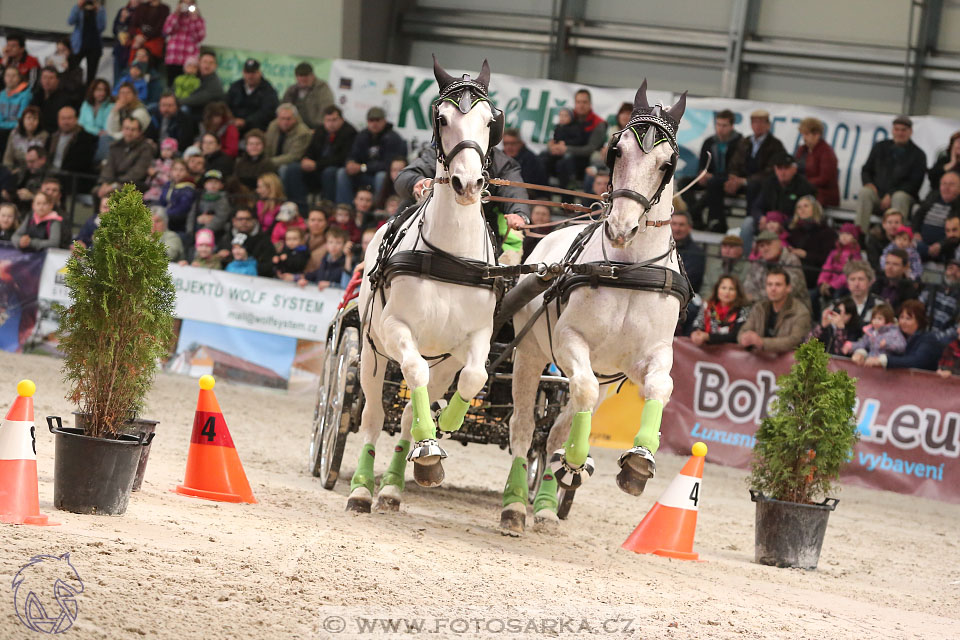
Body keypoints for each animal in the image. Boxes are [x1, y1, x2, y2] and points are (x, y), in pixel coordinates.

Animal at [348, 57, 502, 512]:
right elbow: (410, 373)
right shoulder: (396, 330)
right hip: (371, 350)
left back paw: (399, 480)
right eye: (441, 118)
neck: (449, 258)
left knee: (405, 417)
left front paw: (442, 427)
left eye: (491, 121)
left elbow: (475, 378)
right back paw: (362, 488)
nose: (468, 184)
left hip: (441, 361)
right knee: (374, 415)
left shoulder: (474, 339)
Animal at [498, 85, 688, 536]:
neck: (626, 270)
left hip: (603, 376)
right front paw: (574, 461)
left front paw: (637, 462)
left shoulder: (647, 357)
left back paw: (546, 504)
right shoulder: (571, 343)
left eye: (667, 163)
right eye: (616, 151)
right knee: (523, 428)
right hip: (530, 355)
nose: (620, 228)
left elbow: (660, 388)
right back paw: (515, 504)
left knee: (553, 433)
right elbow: (577, 391)